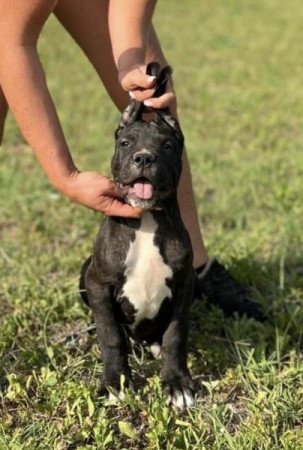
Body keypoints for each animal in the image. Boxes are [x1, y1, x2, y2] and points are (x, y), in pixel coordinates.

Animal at [79, 62, 196, 408]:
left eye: (167, 146)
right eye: (126, 143)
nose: (144, 157)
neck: (145, 218)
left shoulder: (184, 284)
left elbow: (175, 334)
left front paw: (177, 383)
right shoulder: (98, 284)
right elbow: (110, 335)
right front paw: (116, 382)